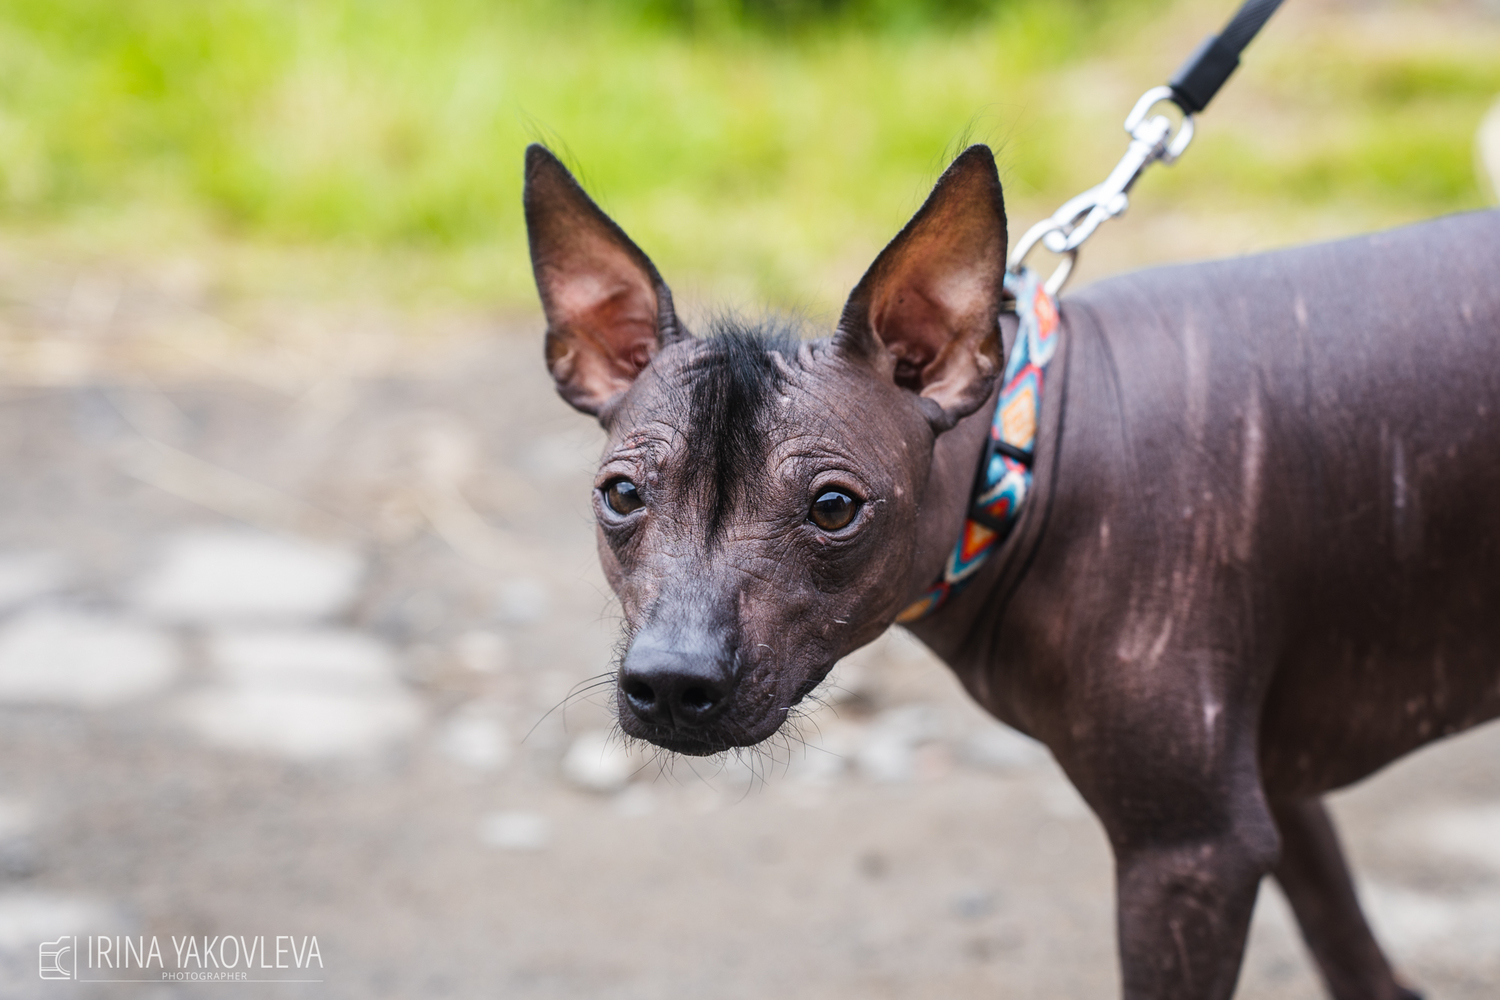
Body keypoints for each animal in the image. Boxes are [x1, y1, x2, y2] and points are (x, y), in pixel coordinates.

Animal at [522, 142, 1494, 1000]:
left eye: (832, 507)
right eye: (621, 495)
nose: (671, 682)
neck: (1029, 459)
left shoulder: (1193, 851)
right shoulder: (1270, 792)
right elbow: (1352, 954)